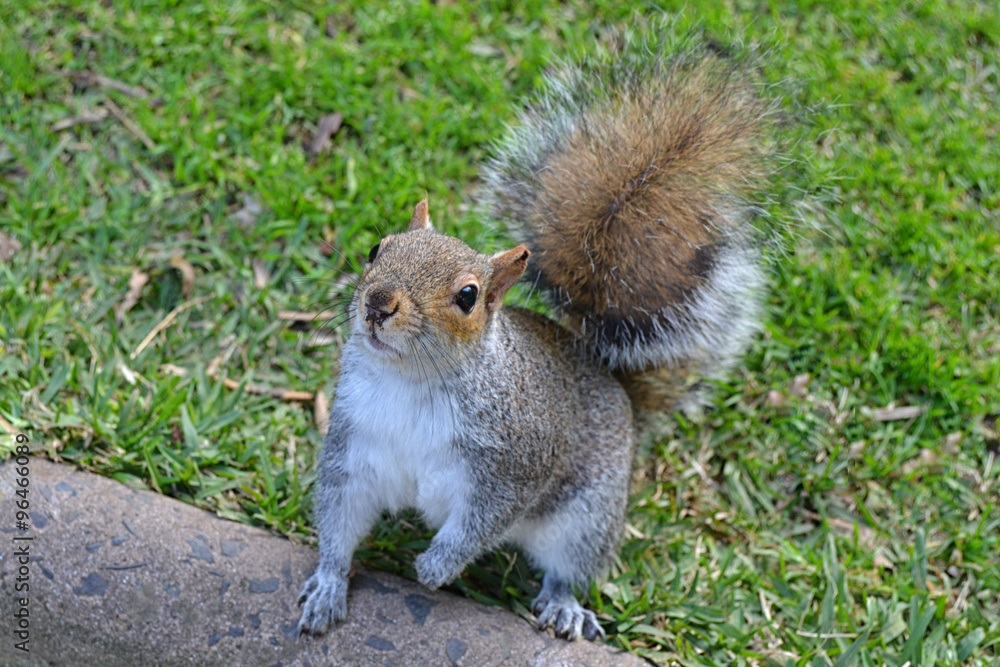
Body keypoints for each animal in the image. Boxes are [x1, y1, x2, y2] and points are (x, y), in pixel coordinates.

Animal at [297, 30, 782, 642]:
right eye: (375, 249)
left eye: (467, 296)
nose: (377, 304)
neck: (410, 380)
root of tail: (614, 383)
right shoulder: (356, 443)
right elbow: (340, 515)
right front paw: (328, 583)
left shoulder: (515, 462)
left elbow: (481, 524)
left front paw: (435, 567)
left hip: (586, 516)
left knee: (568, 566)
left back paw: (562, 604)